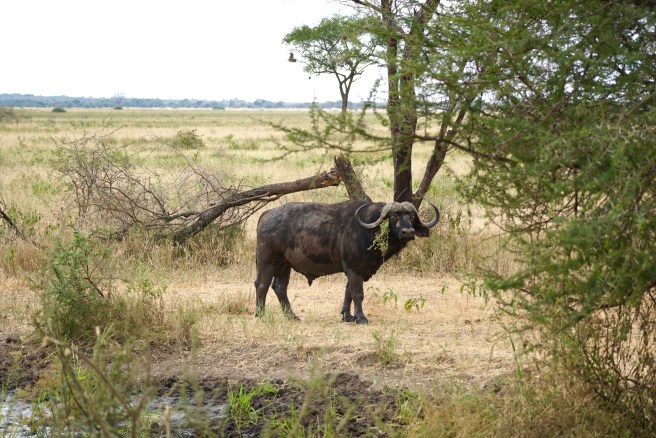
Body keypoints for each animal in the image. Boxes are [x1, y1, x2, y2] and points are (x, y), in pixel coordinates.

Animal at [254, 200, 439, 324]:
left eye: (411, 216)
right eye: (394, 217)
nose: (408, 232)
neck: (369, 231)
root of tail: (266, 215)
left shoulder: (356, 270)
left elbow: (348, 292)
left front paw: (347, 316)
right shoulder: (354, 269)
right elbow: (357, 294)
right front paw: (361, 318)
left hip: (285, 265)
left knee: (280, 287)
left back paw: (291, 316)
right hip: (267, 261)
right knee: (262, 284)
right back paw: (260, 314)